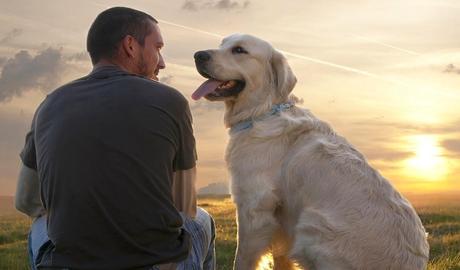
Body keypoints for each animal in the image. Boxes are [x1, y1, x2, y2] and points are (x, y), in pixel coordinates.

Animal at [192, 34, 430, 270]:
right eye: (222, 44)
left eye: (239, 50)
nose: (198, 55)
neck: (263, 111)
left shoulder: (254, 207)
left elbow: (242, 258)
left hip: (311, 225)